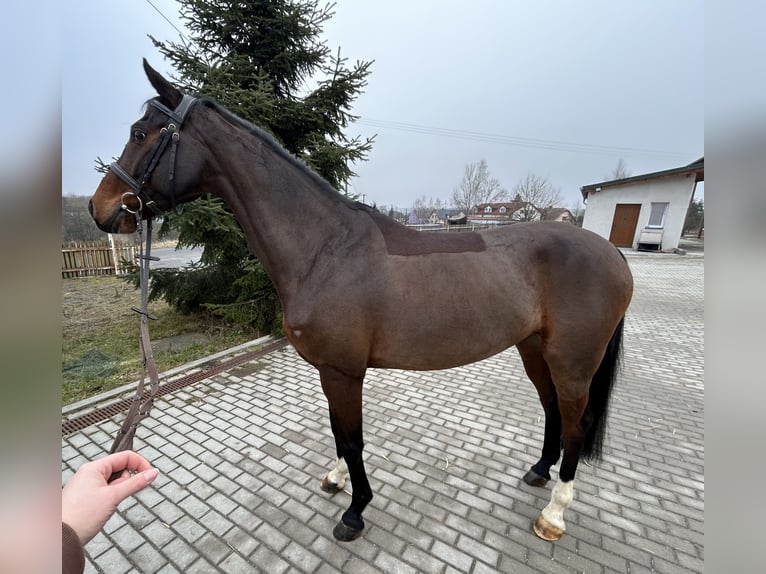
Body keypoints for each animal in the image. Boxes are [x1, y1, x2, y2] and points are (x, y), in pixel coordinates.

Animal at [90, 62, 632, 544]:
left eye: (141, 133)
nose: (102, 209)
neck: (325, 249)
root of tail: (613, 256)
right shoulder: (329, 370)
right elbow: (336, 432)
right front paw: (336, 482)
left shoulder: (344, 370)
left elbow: (352, 439)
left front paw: (355, 512)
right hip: (533, 349)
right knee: (552, 410)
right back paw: (538, 472)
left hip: (572, 360)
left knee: (577, 422)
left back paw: (554, 514)